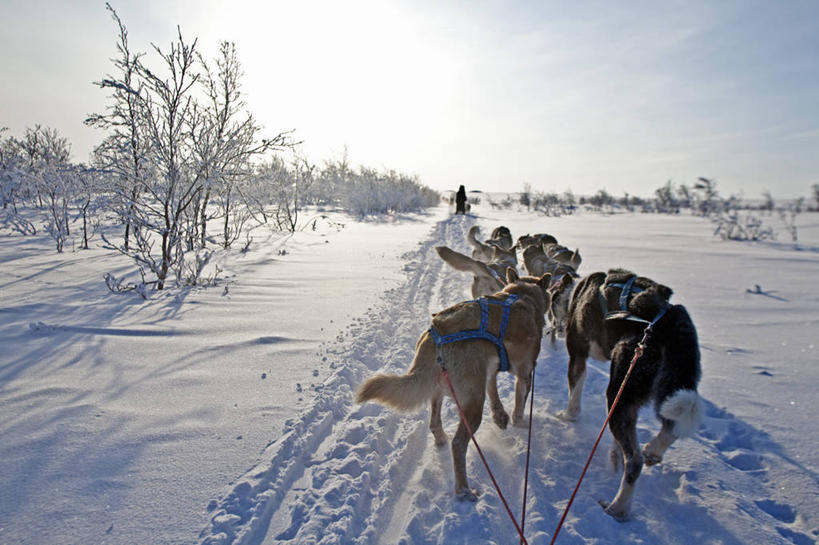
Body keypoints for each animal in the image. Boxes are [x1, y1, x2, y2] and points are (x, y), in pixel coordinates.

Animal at [358, 270, 552, 500]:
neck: (523, 294)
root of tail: (437, 334)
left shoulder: (490, 370)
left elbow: (494, 391)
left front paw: (500, 415)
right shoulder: (524, 374)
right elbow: (519, 407)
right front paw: (521, 424)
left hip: (440, 389)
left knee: (434, 423)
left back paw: (441, 439)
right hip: (473, 404)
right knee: (458, 445)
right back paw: (464, 490)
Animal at [564, 268, 704, 520]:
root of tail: (669, 323)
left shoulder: (578, 355)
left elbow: (575, 393)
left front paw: (568, 416)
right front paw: (614, 454)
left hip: (620, 388)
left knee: (635, 461)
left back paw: (618, 507)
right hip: (669, 387)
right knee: (670, 428)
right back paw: (652, 451)